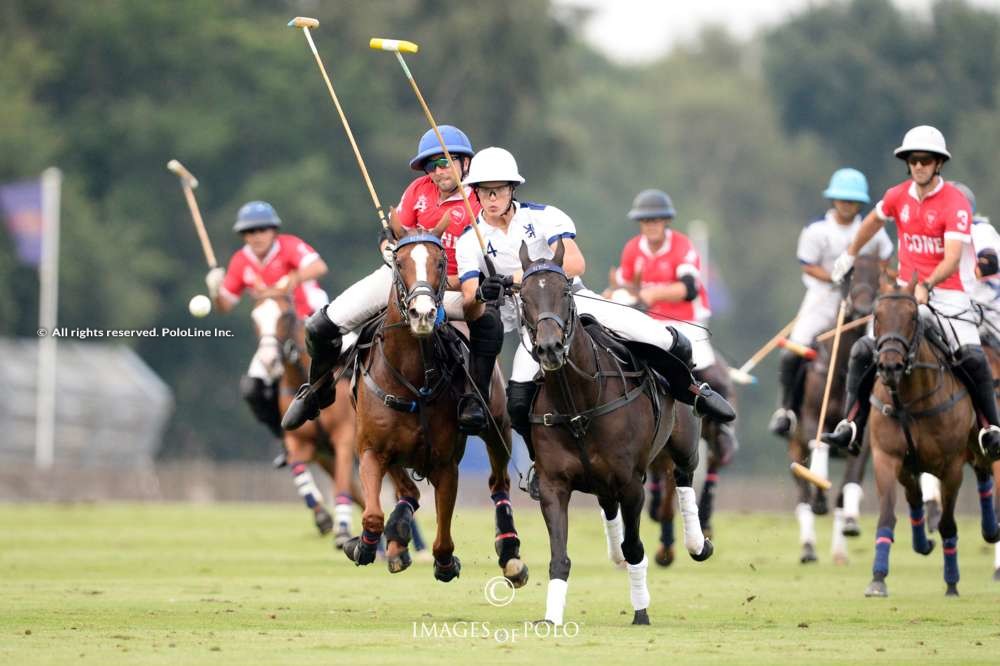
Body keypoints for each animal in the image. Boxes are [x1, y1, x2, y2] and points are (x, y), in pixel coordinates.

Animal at [250, 296, 364, 540]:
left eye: (286, 316)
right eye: (255, 318)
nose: (269, 361)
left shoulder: (345, 438)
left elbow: (342, 484)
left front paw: (342, 530)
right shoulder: (300, 442)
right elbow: (299, 467)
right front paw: (323, 518)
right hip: (328, 458)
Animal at [344, 215, 528, 584]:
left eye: (440, 262)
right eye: (399, 262)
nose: (424, 314)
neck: (412, 380)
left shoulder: (446, 463)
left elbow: (444, 536)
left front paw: (446, 563)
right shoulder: (371, 448)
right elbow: (373, 514)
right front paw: (365, 545)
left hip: (498, 426)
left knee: (499, 482)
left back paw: (510, 551)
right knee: (407, 492)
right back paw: (396, 539)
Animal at [516, 241, 712, 624]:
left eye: (564, 292)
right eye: (523, 295)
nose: (549, 348)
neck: (578, 403)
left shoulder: (631, 482)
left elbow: (635, 546)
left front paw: (641, 612)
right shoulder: (553, 485)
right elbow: (559, 556)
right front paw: (551, 617)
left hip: (683, 442)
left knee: (684, 476)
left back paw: (698, 544)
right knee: (609, 505)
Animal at [784, 253, 880, 560]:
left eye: (879, 277)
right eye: (851, 275)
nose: (863, 308)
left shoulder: (865, 434)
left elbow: (852, 476)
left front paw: (850, 520)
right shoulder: (812, 419)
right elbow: (819, 446)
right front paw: (819, 494)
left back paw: (839, 549)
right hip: (794, 444)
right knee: (801, 498)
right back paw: (808, 546)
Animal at [860, 274, 1000, 596]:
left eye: (912, 317)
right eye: (877, 316)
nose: (889, 366)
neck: (910, 400)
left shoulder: (951, 467)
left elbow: (949, 524)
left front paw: (951, 582)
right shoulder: (887, 458)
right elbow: (887, 515)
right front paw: (877, 578)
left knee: (985, 469)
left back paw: (990, 530)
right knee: (918, 494)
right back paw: (923, 542)